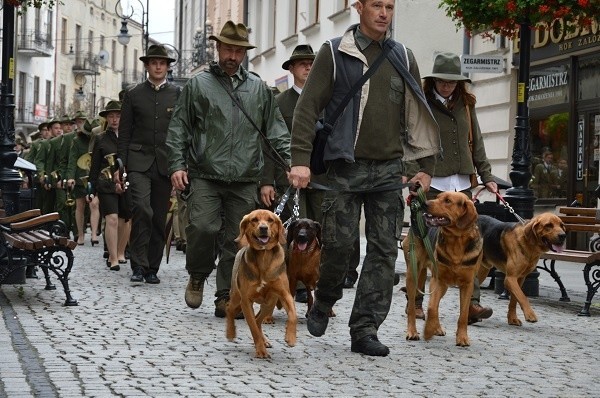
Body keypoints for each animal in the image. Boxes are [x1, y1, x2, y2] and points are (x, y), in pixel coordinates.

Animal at [225, 210, 298, 360]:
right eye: (254, 220)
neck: (264, 255)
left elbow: (293, 315)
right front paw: (260, 350)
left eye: (270, 220)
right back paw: (231, 333)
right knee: (230, 309)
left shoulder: (285, 294)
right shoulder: (246, 301)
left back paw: (265, 340)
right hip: (236, 297)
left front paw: (290, 338)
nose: (263, 228)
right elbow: (253, 327)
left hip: (269, 303)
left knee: (259, 319)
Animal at [404, 191, 482, 346]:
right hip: (413, 275)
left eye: (447, 201)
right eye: (438, 196)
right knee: (412, 307)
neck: (456, 242)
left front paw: (462, 338)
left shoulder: (467, 284)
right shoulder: (437, 280)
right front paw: (428, 330)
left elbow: (463, 315)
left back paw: (437, 328)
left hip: (444, 285)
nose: (425, 204)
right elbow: (432, 307)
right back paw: (413, 331)